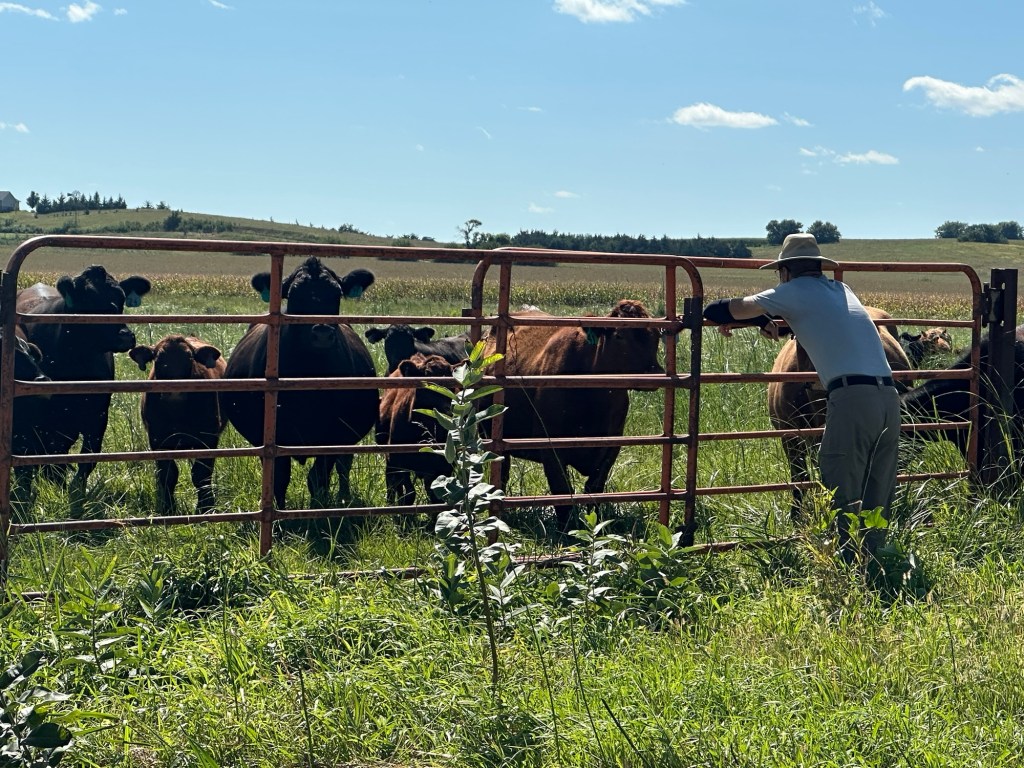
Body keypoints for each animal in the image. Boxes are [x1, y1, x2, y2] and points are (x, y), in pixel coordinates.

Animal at [15, 266, 151, 508]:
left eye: (121, 297)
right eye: (88, 297)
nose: (125, 336)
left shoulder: (97, 417)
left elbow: (87, 458)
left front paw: (76, 493)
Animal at [129, 335, 227, 514]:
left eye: (189, 358)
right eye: (158, 359)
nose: (174, 390)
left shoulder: (208, 438)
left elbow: (201, 474)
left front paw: (205, 506)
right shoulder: (158, 440)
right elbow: (168, 474)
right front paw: (167, 507)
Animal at [221, 257, 379, 509]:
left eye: (336, 294)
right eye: (294, 295)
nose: (322, 333)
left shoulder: (333, 435)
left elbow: (318, 477)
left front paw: (317, 510)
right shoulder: (269, 437)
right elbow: (279, 478)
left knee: (344, 463)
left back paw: (343, 496)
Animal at [376, 353, 457, 506]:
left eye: (452, 384)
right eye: (427, 381)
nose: (447, 411)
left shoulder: (443, 466)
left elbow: (435, 495)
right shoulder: (399, 461)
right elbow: (409, 494)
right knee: (391, 480)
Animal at [482, 299, 664, 533]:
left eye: (655, 336)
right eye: (619, 335)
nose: (654, 373)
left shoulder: (611, 447)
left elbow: (594, 490)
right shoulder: (550, 447)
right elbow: (562, 491)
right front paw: (566, 531)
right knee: (501, 475)